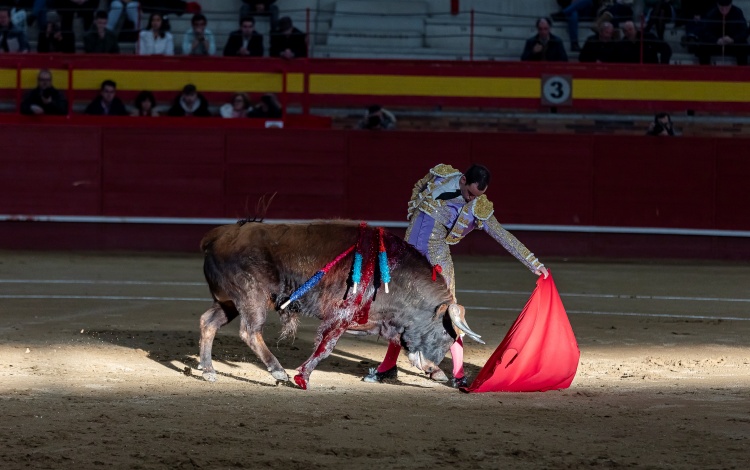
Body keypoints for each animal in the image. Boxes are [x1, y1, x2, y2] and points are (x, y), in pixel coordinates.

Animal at [197, 220, 482, 389]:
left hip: (229, 302)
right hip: (251, 298)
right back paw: (278, 371)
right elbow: (325, 347)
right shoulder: (340, 315)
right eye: (444, 334)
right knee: (250, 331)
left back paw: (208, 370)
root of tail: (218, 235)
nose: (432, 366)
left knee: (208, 322)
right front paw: (302, 376)